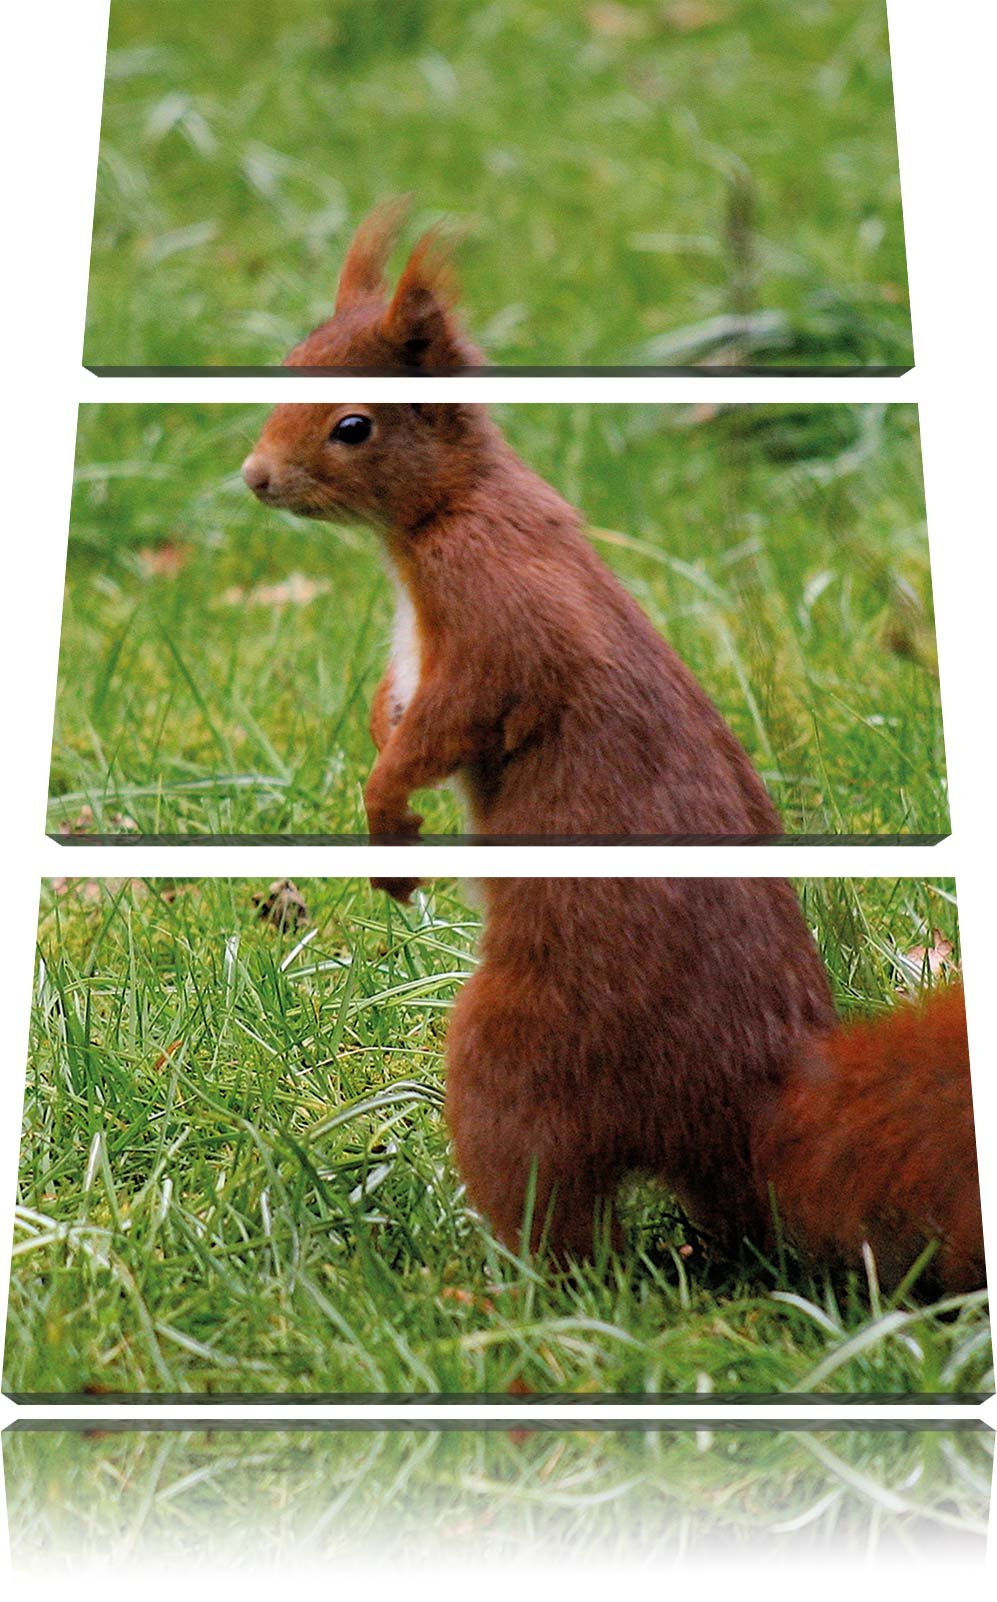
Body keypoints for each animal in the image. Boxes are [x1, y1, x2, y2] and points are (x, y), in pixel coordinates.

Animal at [242, 201, 782, 875]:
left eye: (353, 427)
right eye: (289, 363)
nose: (254, 476)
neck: (452, 504)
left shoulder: (487, 590)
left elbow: (477, 697)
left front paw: (385, 797)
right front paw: (380, 723)